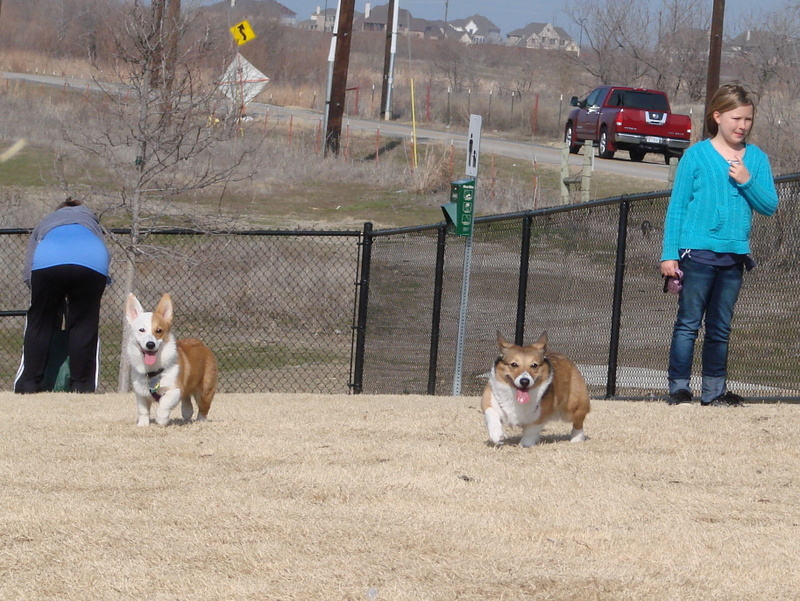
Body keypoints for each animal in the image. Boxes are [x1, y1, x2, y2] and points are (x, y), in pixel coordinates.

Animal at [123, 292, 216, 424]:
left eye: (159, 330)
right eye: (141, 330)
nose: (150, 344)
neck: (152, 370)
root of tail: (201, 344)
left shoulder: (175, 389)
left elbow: (165, 403)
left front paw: (161, 419)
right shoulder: (141, 393)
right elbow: (143, 410)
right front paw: (143, 425)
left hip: (205, 390)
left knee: (204, 407)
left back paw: (200, 421)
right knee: (187, 398)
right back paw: (187, 411)